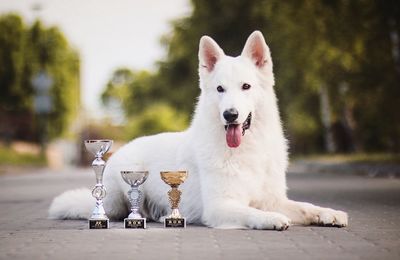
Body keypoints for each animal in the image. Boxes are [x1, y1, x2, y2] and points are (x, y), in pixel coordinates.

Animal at [50, 31, 348, 230]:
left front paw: (329, 213)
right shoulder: (221, 206)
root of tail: (121, 151)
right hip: (114, 201)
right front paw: (271, 219)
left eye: (246, 87)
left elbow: (305, 206)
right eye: (220, 89)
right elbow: (251, 212)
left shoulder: (274, 198)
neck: (247, 151)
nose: (230, 115)